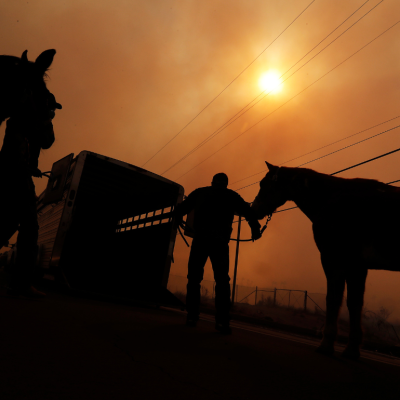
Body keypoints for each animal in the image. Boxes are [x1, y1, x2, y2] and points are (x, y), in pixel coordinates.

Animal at [252, 162, 398, 360]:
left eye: (264, 183)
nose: (254, 209)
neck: (331, 199)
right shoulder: (357, 266)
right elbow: (354, 303)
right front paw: (352, 349)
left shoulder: (333, 259)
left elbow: (333, 299)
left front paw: (326, 344)